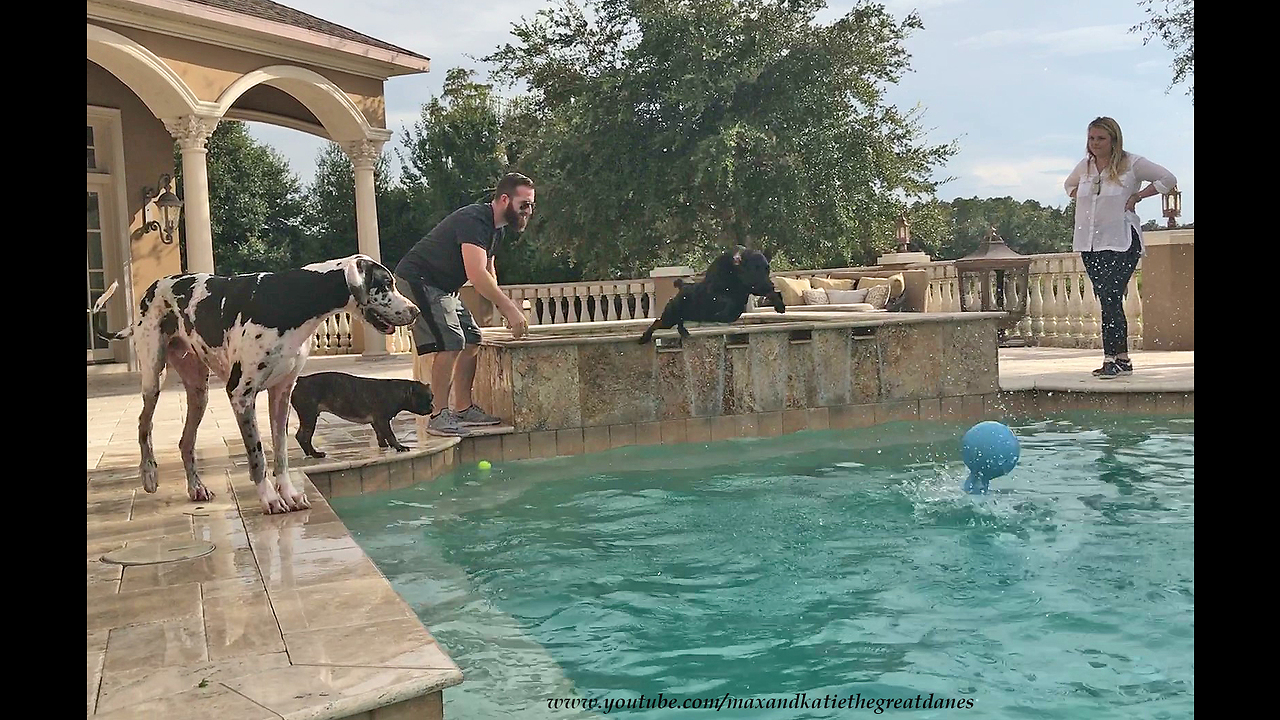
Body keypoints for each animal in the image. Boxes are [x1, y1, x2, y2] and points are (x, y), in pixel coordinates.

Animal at [637, 244, 783, 343]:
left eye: (767, 269)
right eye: (755, 269)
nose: (771, 284)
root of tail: (682, 286)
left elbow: (770, 294)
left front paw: (780, 306)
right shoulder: (716, 295)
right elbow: (726, 301)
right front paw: (720, 313)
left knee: (678, 322)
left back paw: (683, 331)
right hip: (669, 317)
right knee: (657, 322)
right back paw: (645, 337)